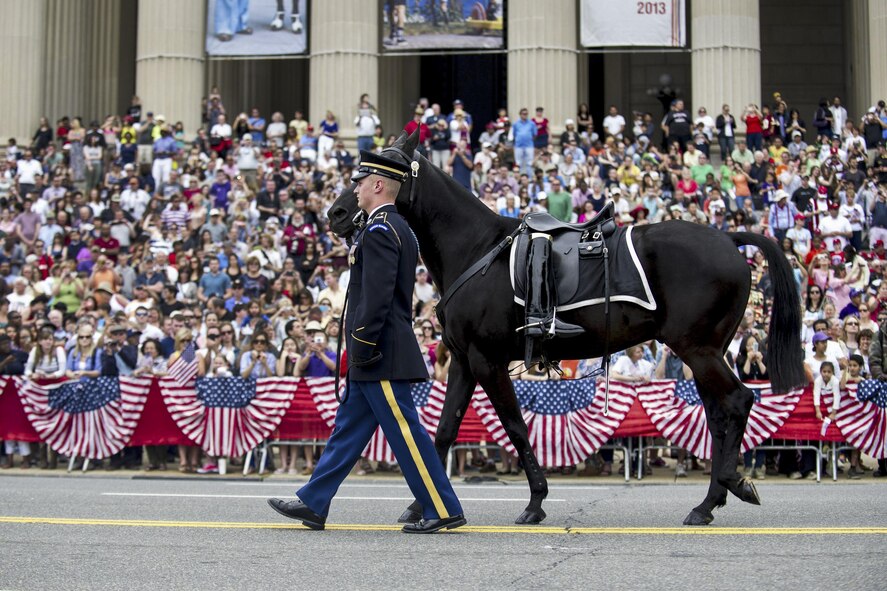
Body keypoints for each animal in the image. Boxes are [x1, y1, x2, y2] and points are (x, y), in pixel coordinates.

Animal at [330, 131, 808, 528]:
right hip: (706, 351)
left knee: (738, 401)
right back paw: (710, 500)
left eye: (377, 171)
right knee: (719, 415)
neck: (477, 249)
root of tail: (729, 238)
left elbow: (515, 426)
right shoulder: (465, 361)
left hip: (698, 350)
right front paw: (421, 505)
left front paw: (535, 501)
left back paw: (727, 486)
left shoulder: (487, 360)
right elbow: (445, 430)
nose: (336, 212)